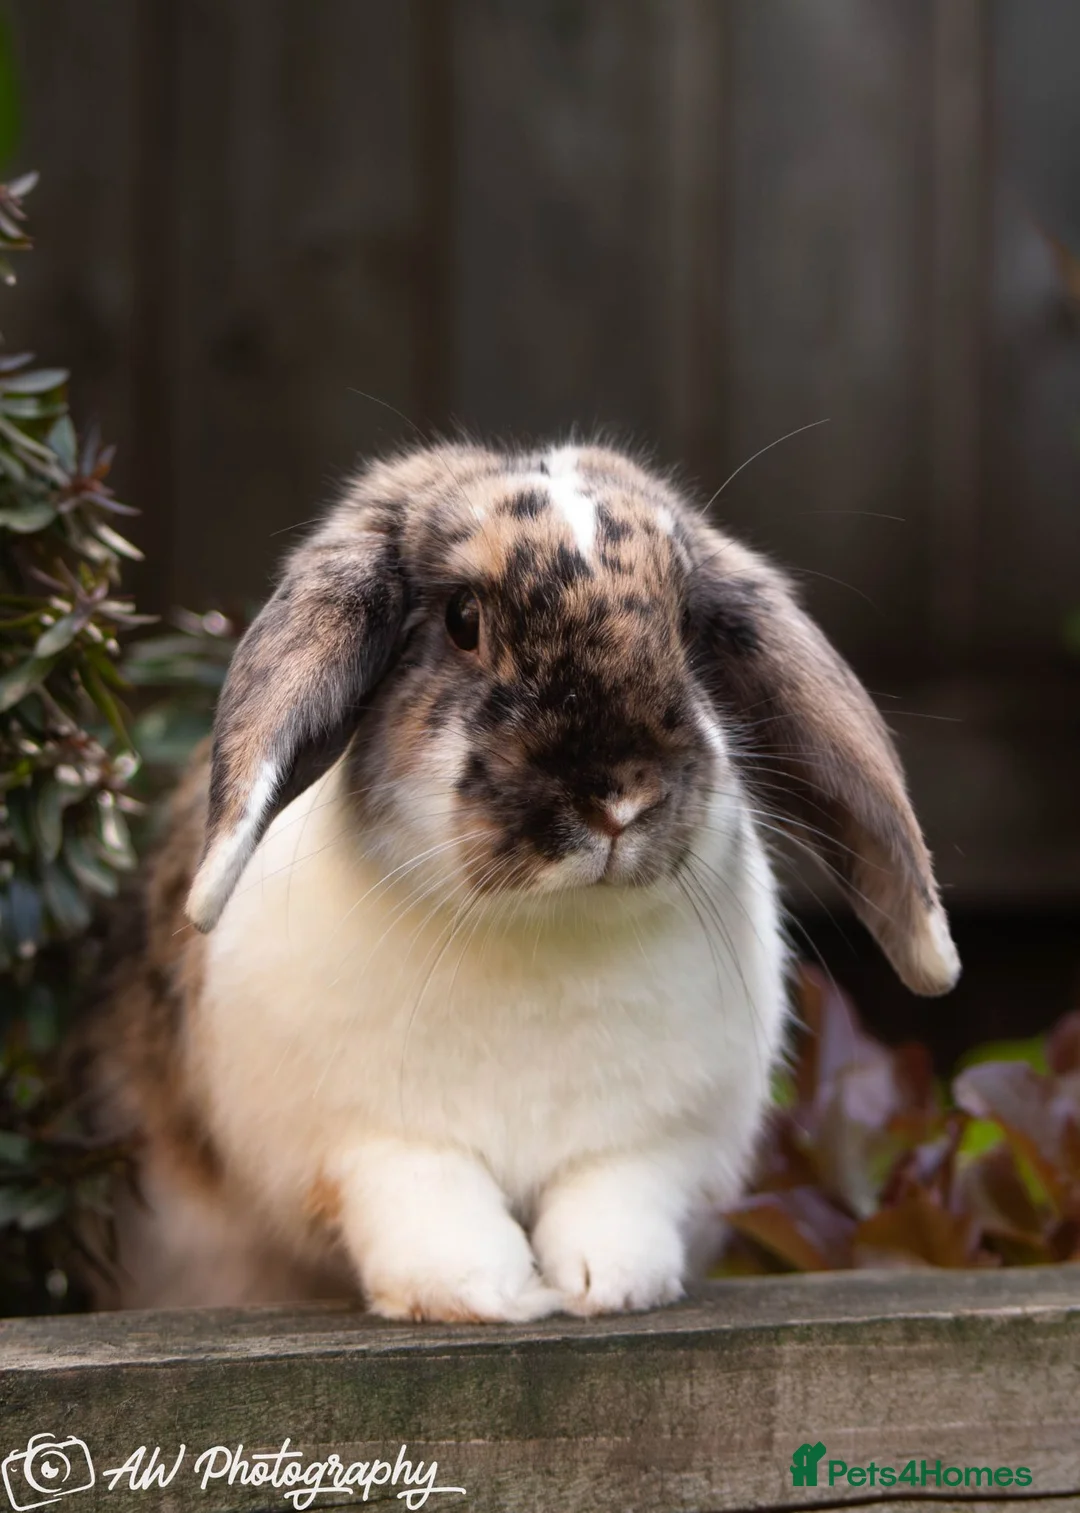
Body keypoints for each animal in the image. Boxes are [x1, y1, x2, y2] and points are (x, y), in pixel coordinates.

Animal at [76, 440, 959, 1321]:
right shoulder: (368, 1142)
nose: (619, 796)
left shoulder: (657, 1142)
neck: (547, 925)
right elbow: (428, 1197)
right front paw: (475, 1293)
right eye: (464, 619)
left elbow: (616, 1193)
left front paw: (611, 1284)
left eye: (684, 626)